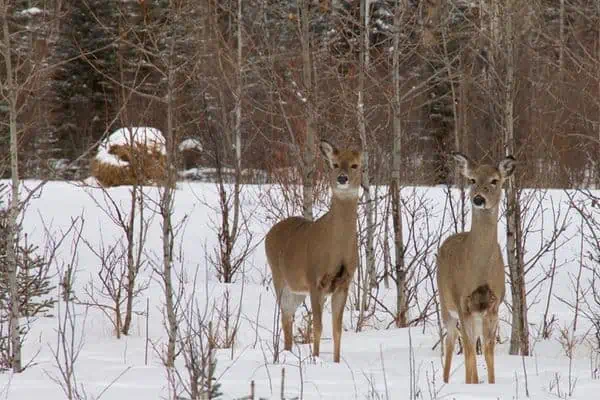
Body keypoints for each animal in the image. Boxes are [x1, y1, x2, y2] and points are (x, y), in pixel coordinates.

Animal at [266, 140, 360, 362]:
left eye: (355, 165)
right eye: (335, 164)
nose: (342, 178)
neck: (336, 249)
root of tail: (270, 233)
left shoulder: (344, 283)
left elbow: (336, 329)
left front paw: (336, 362)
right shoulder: (314, 279)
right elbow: (318, 326)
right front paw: (315, 359)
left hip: (298, 290)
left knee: (289, 316)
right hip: (279, 278)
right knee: (285, 317)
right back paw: (286, 354)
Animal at [436, 152, 516, 382]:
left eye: (495, 181)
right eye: (472, 180)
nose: (478, 199)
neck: (479, 271)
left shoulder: (493, 305)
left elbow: (487, 351)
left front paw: (490, 383)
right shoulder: (463, 302)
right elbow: (470, 350)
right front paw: (471, 384)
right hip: (445, 302)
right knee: (452, 339)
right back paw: (446, 380)